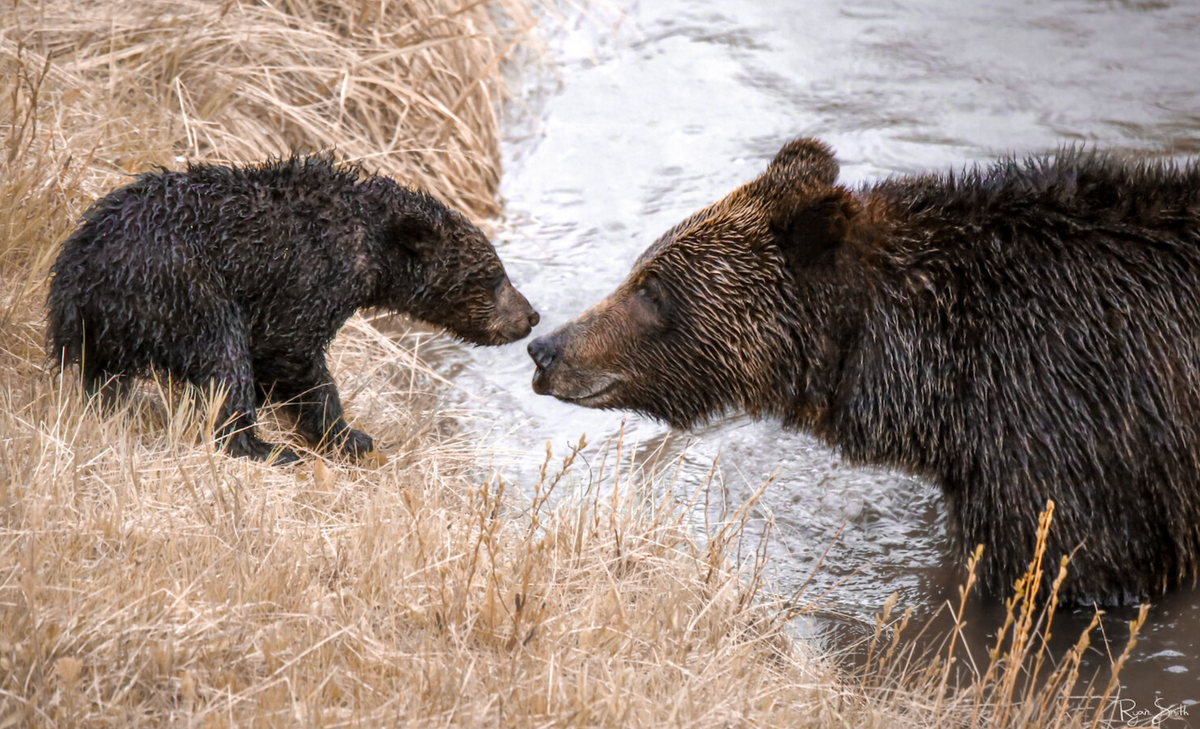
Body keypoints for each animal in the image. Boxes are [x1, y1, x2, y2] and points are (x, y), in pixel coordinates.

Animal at [48, 155, 539, 464]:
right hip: (180, 287)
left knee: (104, 379)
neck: (371, 250)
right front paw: (348, 435)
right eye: (494, 277)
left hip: (105, 329)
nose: (530, 317)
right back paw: (265, 449)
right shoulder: (307, 277)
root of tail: (78, 279)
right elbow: (287, 350)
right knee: (222, 359)